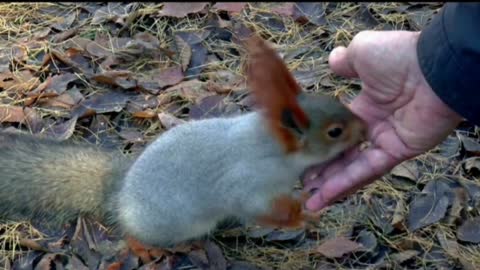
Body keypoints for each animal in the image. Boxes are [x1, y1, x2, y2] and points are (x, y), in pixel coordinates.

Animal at [0, 34, 368, 254]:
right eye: (335, 131)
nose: (365, 130)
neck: (273, 148)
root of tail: (120, 194)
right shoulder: (245, 183)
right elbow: (255, 208)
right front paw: (298, 217)